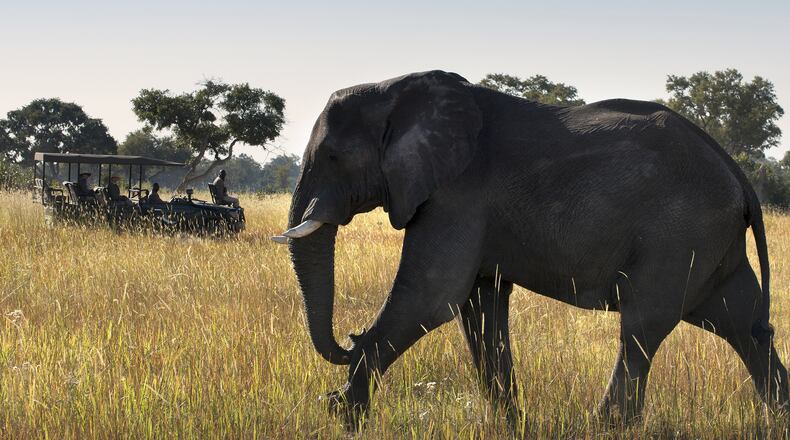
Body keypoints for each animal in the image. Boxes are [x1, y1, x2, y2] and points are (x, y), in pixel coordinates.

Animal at [272, 70, 789, 429]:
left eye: (334, 157)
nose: (345, 340)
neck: (395, 88)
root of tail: (736, 172)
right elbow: (479, 307)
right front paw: (511, 423)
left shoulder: (457, 195)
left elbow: (431, 299)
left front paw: (342, 414)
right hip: (710, 243)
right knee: (744, 326)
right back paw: (778, 417)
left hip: (680, 235)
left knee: (642, 329)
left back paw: (603, 426)